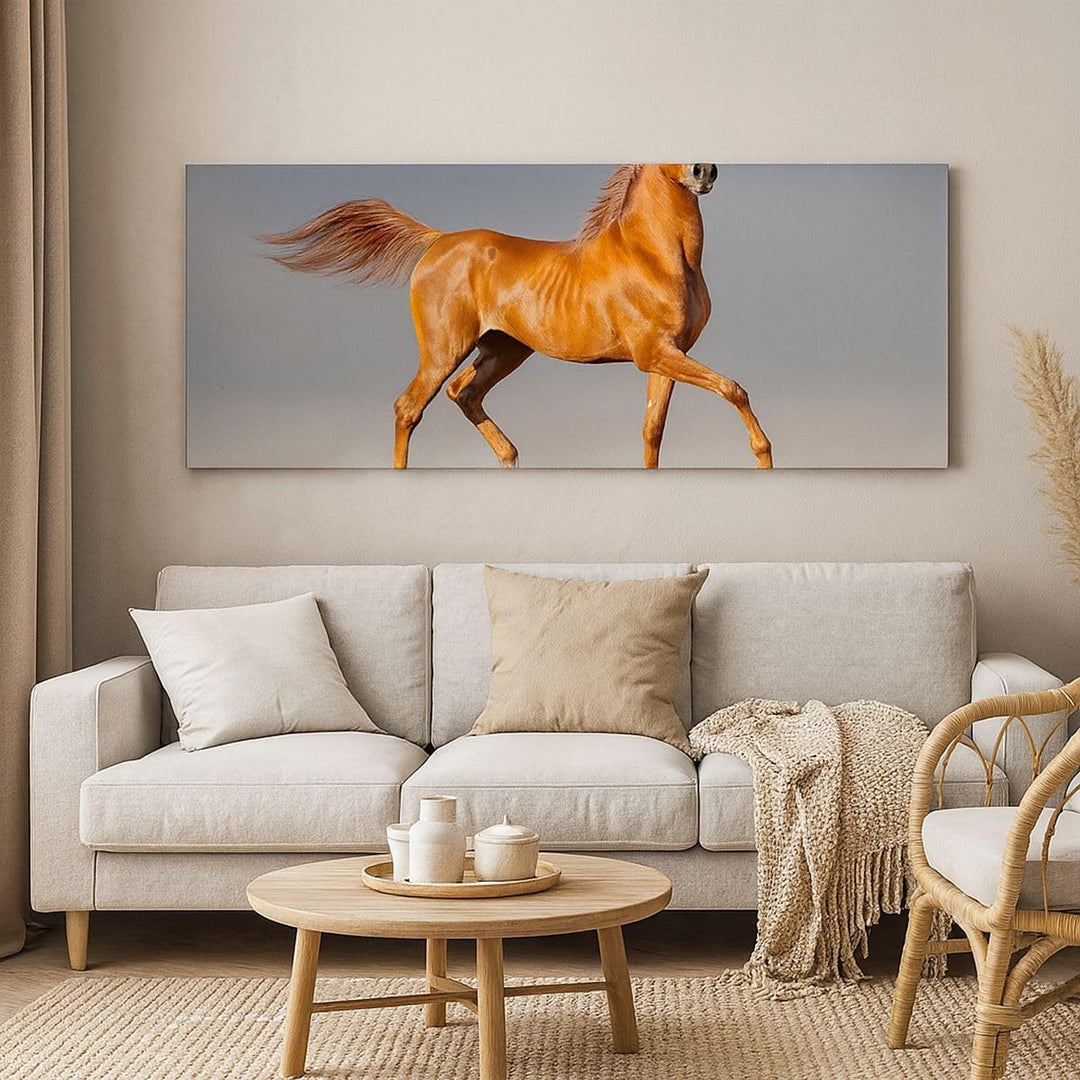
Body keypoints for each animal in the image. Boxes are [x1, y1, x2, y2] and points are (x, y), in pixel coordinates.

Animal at [262, 163, 773, 469]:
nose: (702, 170)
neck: (658, 255)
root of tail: (438, 240)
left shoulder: (668, 356)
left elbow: (652, 432)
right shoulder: (655, 353)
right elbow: (734, 388)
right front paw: (763, 455)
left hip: (505, 350)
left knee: (463, 394)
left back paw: (510, 458)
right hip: (445, 349)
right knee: (410, 407)